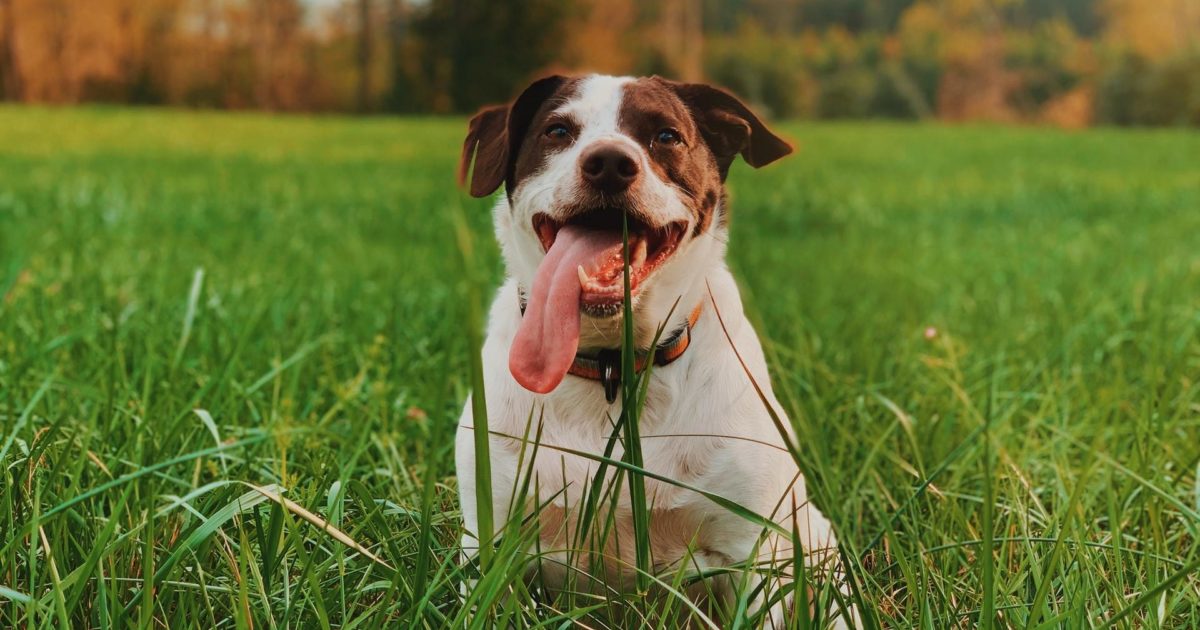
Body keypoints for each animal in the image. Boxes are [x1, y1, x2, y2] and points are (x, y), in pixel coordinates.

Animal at [451, 73, 854, 624]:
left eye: (666, 136)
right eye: (558, 130)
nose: (609, 162)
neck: (611, 368)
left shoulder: (754, 553)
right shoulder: (490, 544)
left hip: (822, 554)